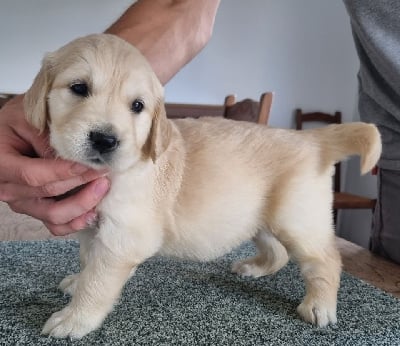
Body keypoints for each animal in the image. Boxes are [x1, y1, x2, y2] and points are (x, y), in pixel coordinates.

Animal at [24, 34, 382, 338]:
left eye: (137, 106)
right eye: (78, 88)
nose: (105, 140)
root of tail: (311, 138)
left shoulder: (123, 237)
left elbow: (97, 281)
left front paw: (75, 318)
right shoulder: (92, 228)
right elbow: (88, 261)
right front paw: (77, 281)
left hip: (297, 219)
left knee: (326, 259)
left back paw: (320, 306)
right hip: (260, 216)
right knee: (278, 251)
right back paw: (254, 267)